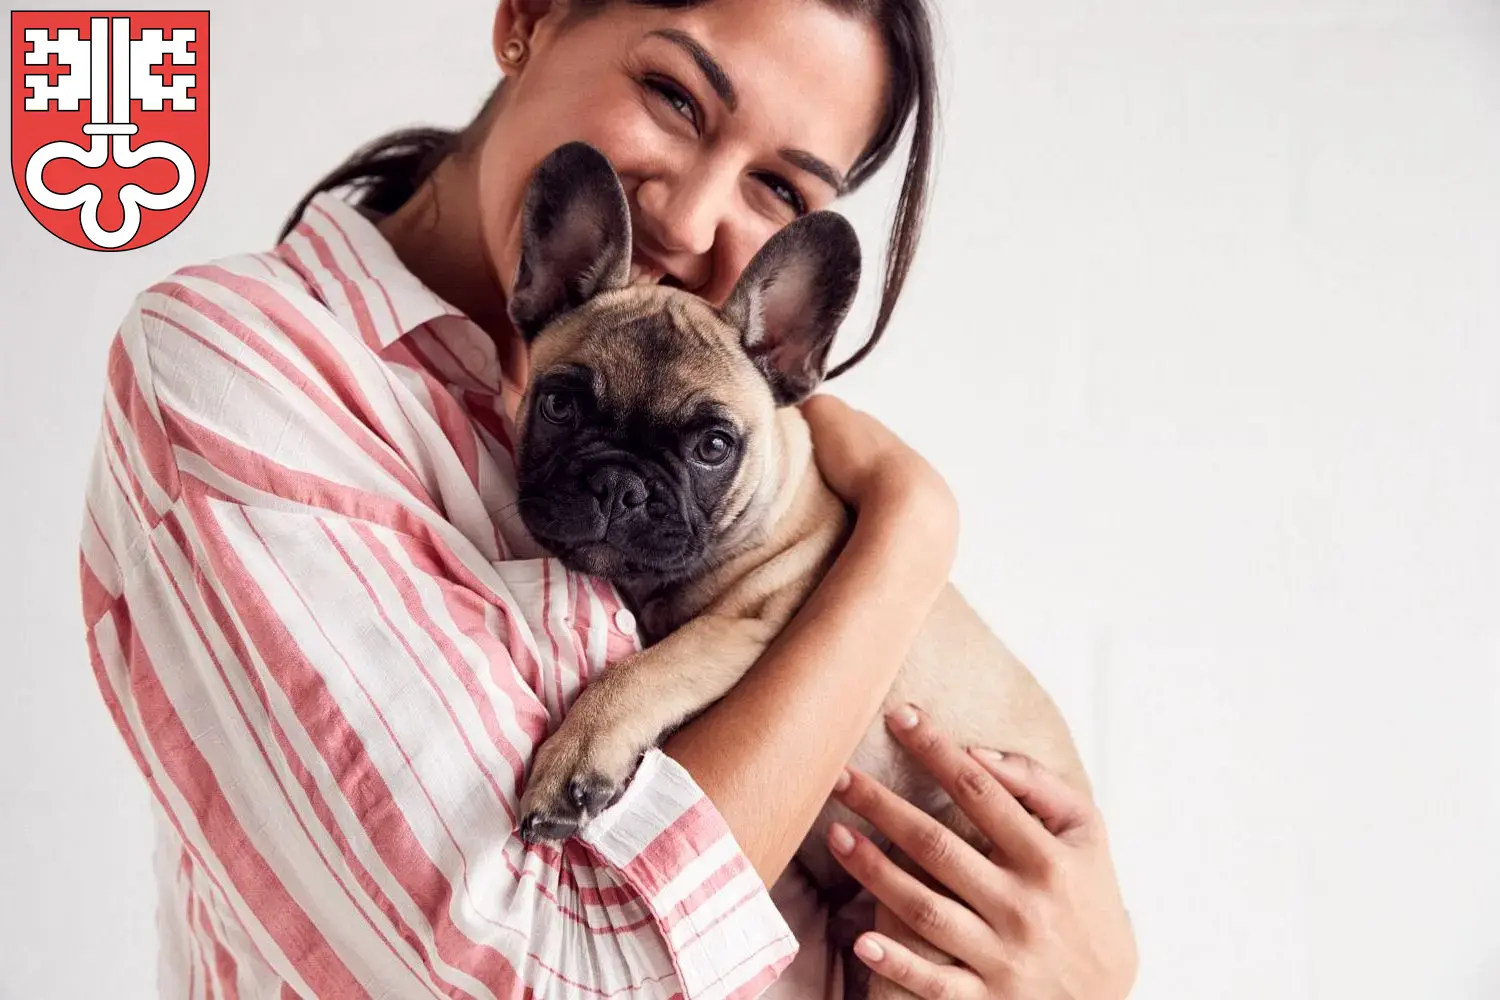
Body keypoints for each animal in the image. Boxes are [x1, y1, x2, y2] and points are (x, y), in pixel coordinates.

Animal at [510, 140, 1086, 959]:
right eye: (558, 405)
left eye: (714, 446)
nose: (620, 485)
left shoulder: (745, 628)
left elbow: (641, 674)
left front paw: (572, 761)